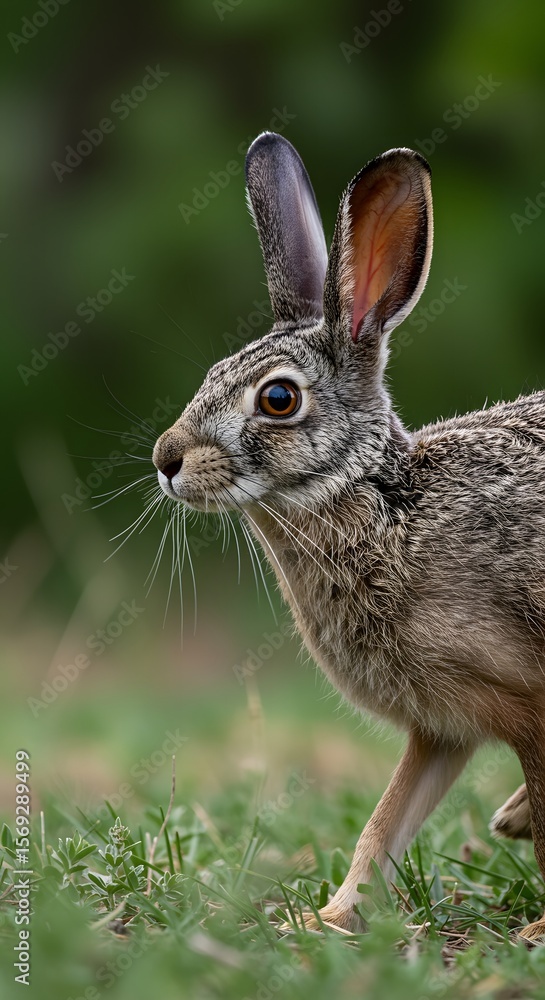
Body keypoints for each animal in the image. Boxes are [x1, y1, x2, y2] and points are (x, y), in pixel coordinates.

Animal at [152, 131, 545, 939]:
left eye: (278, 399)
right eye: (210, 373)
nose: (166, 458)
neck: (385, 506)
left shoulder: (526, 703)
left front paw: (538, 933)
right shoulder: (442, 726)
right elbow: (384, 822)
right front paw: (325, 919)